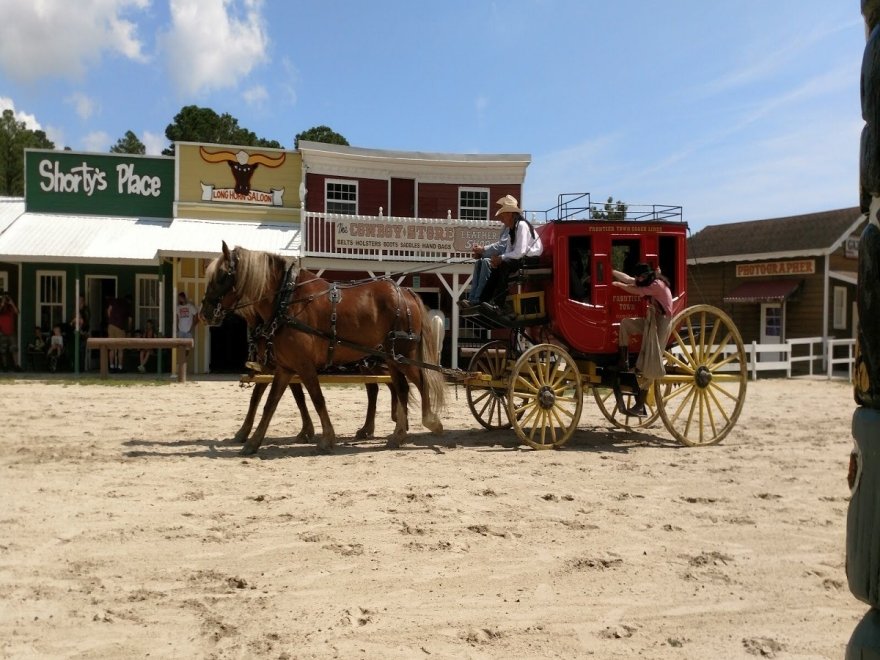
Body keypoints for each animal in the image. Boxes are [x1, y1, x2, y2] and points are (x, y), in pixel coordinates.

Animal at [202, 242, 444, 454]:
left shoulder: (303, 365)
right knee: (400, 389)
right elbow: (270, 403)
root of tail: (406, 291)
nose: (204, 313)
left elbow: (316, 398)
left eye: (222, 276)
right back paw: (398, 434)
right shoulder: (285, 367)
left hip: (403, 355)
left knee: (421, 382)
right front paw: (253, 441)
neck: (288, 301)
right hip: (391, 357)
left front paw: (326, 438)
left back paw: (430, 422)